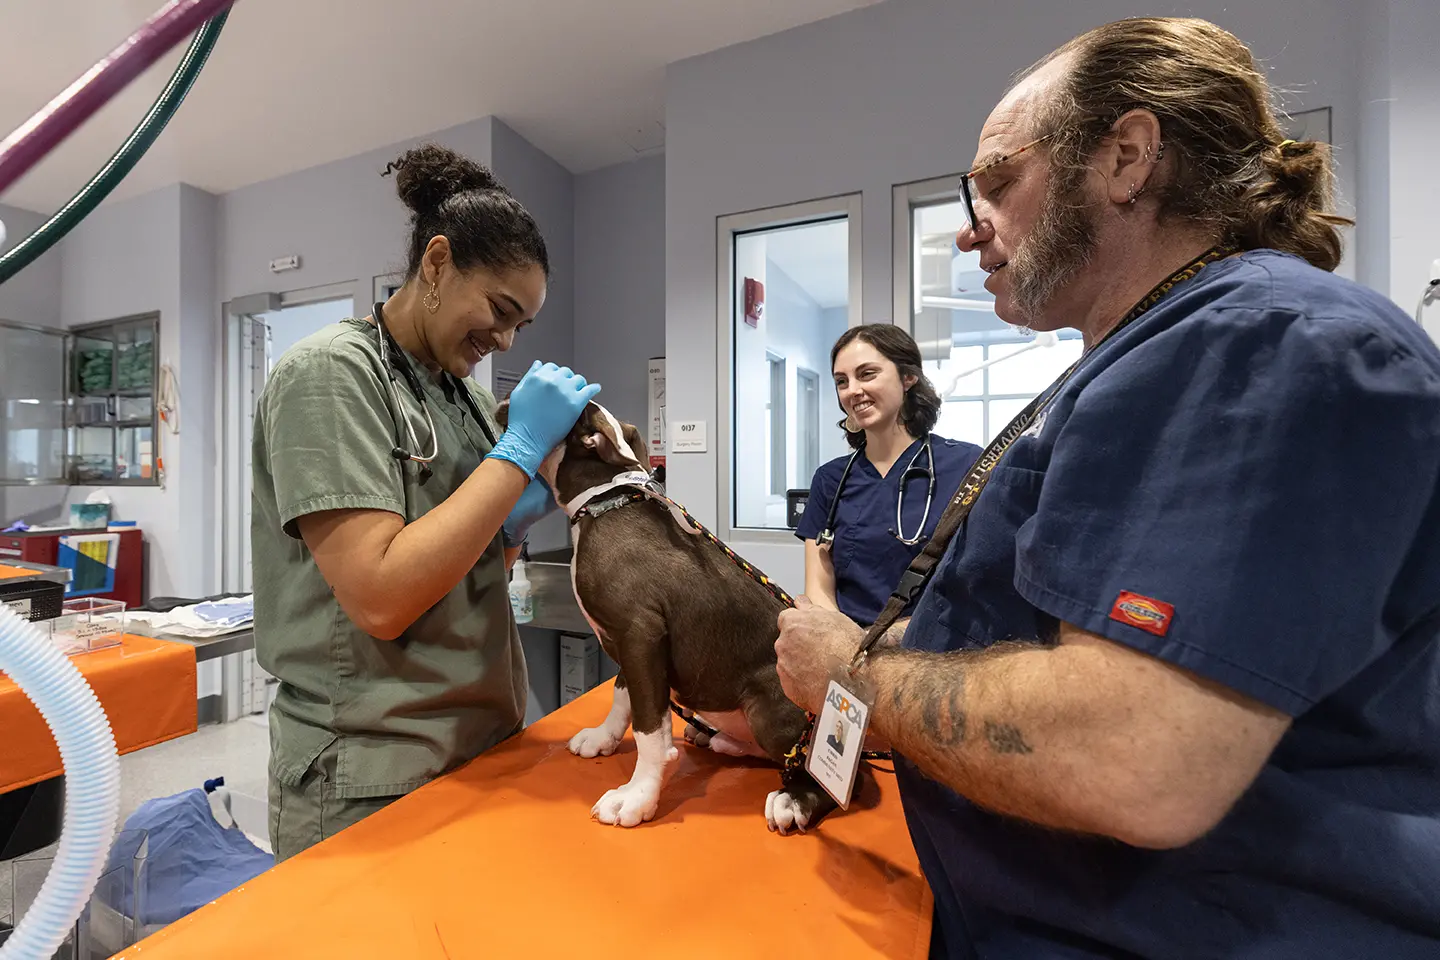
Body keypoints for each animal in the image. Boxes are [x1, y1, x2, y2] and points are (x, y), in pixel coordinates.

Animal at [495, 402, 852, 829]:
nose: (503, 404)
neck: (606, 499)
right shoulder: (632, 644)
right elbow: (622, 697)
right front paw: (603, 738)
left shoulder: (640, 633)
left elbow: (650, 728)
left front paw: (637, 796)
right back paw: (718, 736)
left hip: (772, 710)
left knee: (816, 769)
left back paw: (794, 800)